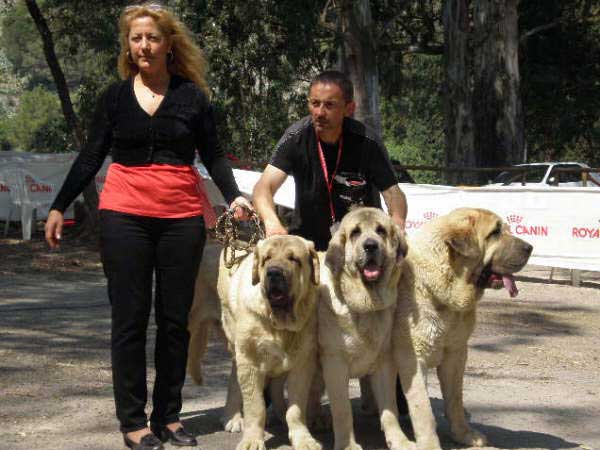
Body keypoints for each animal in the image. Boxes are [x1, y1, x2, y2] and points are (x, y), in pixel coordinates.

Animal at [220, 236, 324, 450]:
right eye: (266, 259)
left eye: (294, 259)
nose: (274, 272)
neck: (279, 324)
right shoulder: (250, 362)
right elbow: (255, 407)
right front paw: (252, 440)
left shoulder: (302, 363)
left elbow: (296, 408)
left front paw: (303, 438)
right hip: (236, 346)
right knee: (235, 380)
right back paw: (233, 418)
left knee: (276, 387)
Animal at [318, 209, 422, 450]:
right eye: (355, 232)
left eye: (380, 231)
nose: (371, 246)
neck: (364, 306)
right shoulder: (335, 365)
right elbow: (342, 412)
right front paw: (347, 445)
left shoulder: (384, 363)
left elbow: (390, 408)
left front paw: (399, 440)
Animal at [396, 207, 532, 446]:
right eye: (495, 232)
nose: (530, 248)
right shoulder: (414, 360)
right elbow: (424, 411)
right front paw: (429, 444)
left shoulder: (456, 354)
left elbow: (455, 400)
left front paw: (463, 434)